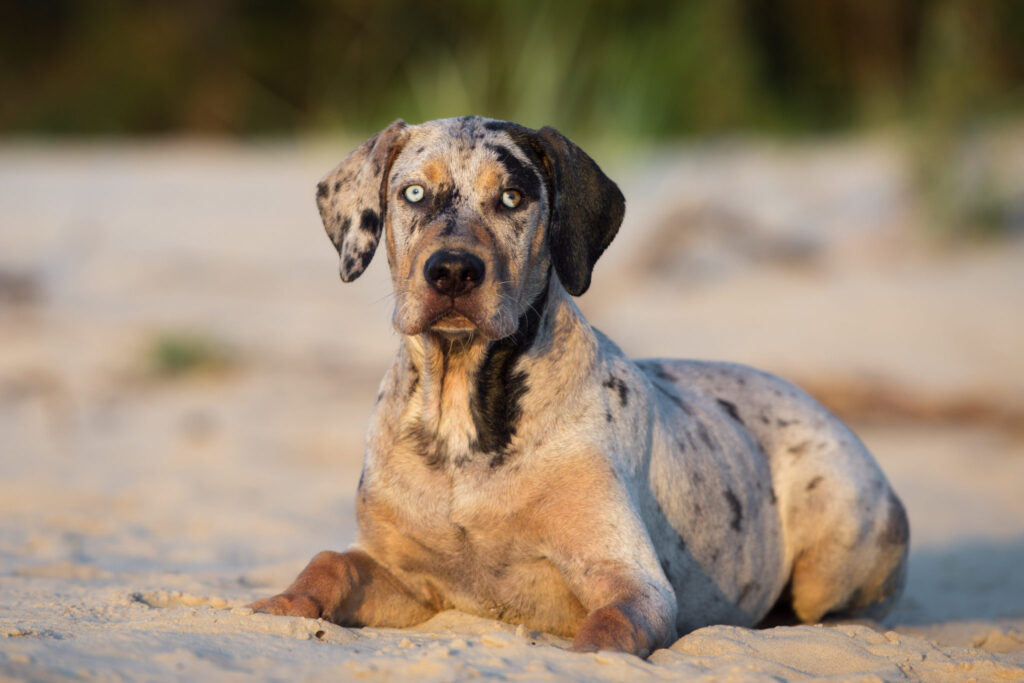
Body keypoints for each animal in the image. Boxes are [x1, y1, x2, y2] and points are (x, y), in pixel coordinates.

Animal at [251, 116, 909, 655]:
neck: (463, 421)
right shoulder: (406, 575)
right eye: (412, 193)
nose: (454, 271)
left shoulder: (632, 580)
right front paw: (280, 604)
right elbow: (330, 563)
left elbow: (610, 625)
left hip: (837, 535)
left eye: (512, 198)